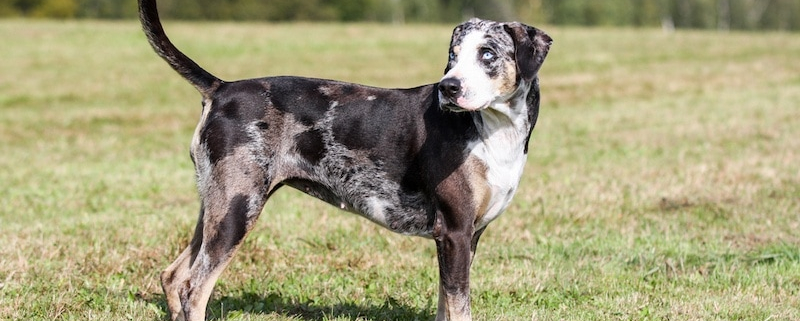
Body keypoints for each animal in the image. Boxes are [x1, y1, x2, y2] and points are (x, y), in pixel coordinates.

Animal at [139, 1, 552, 318]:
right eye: (453, 57)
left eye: (488, 55)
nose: (448, 87)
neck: (492, 131)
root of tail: (221, 88)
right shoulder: (454, 232)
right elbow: (459, 306)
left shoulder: (464, 238)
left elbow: (446, 304)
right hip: (237, 210)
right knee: (193, 289)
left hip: (216, 207)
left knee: (173, 277)